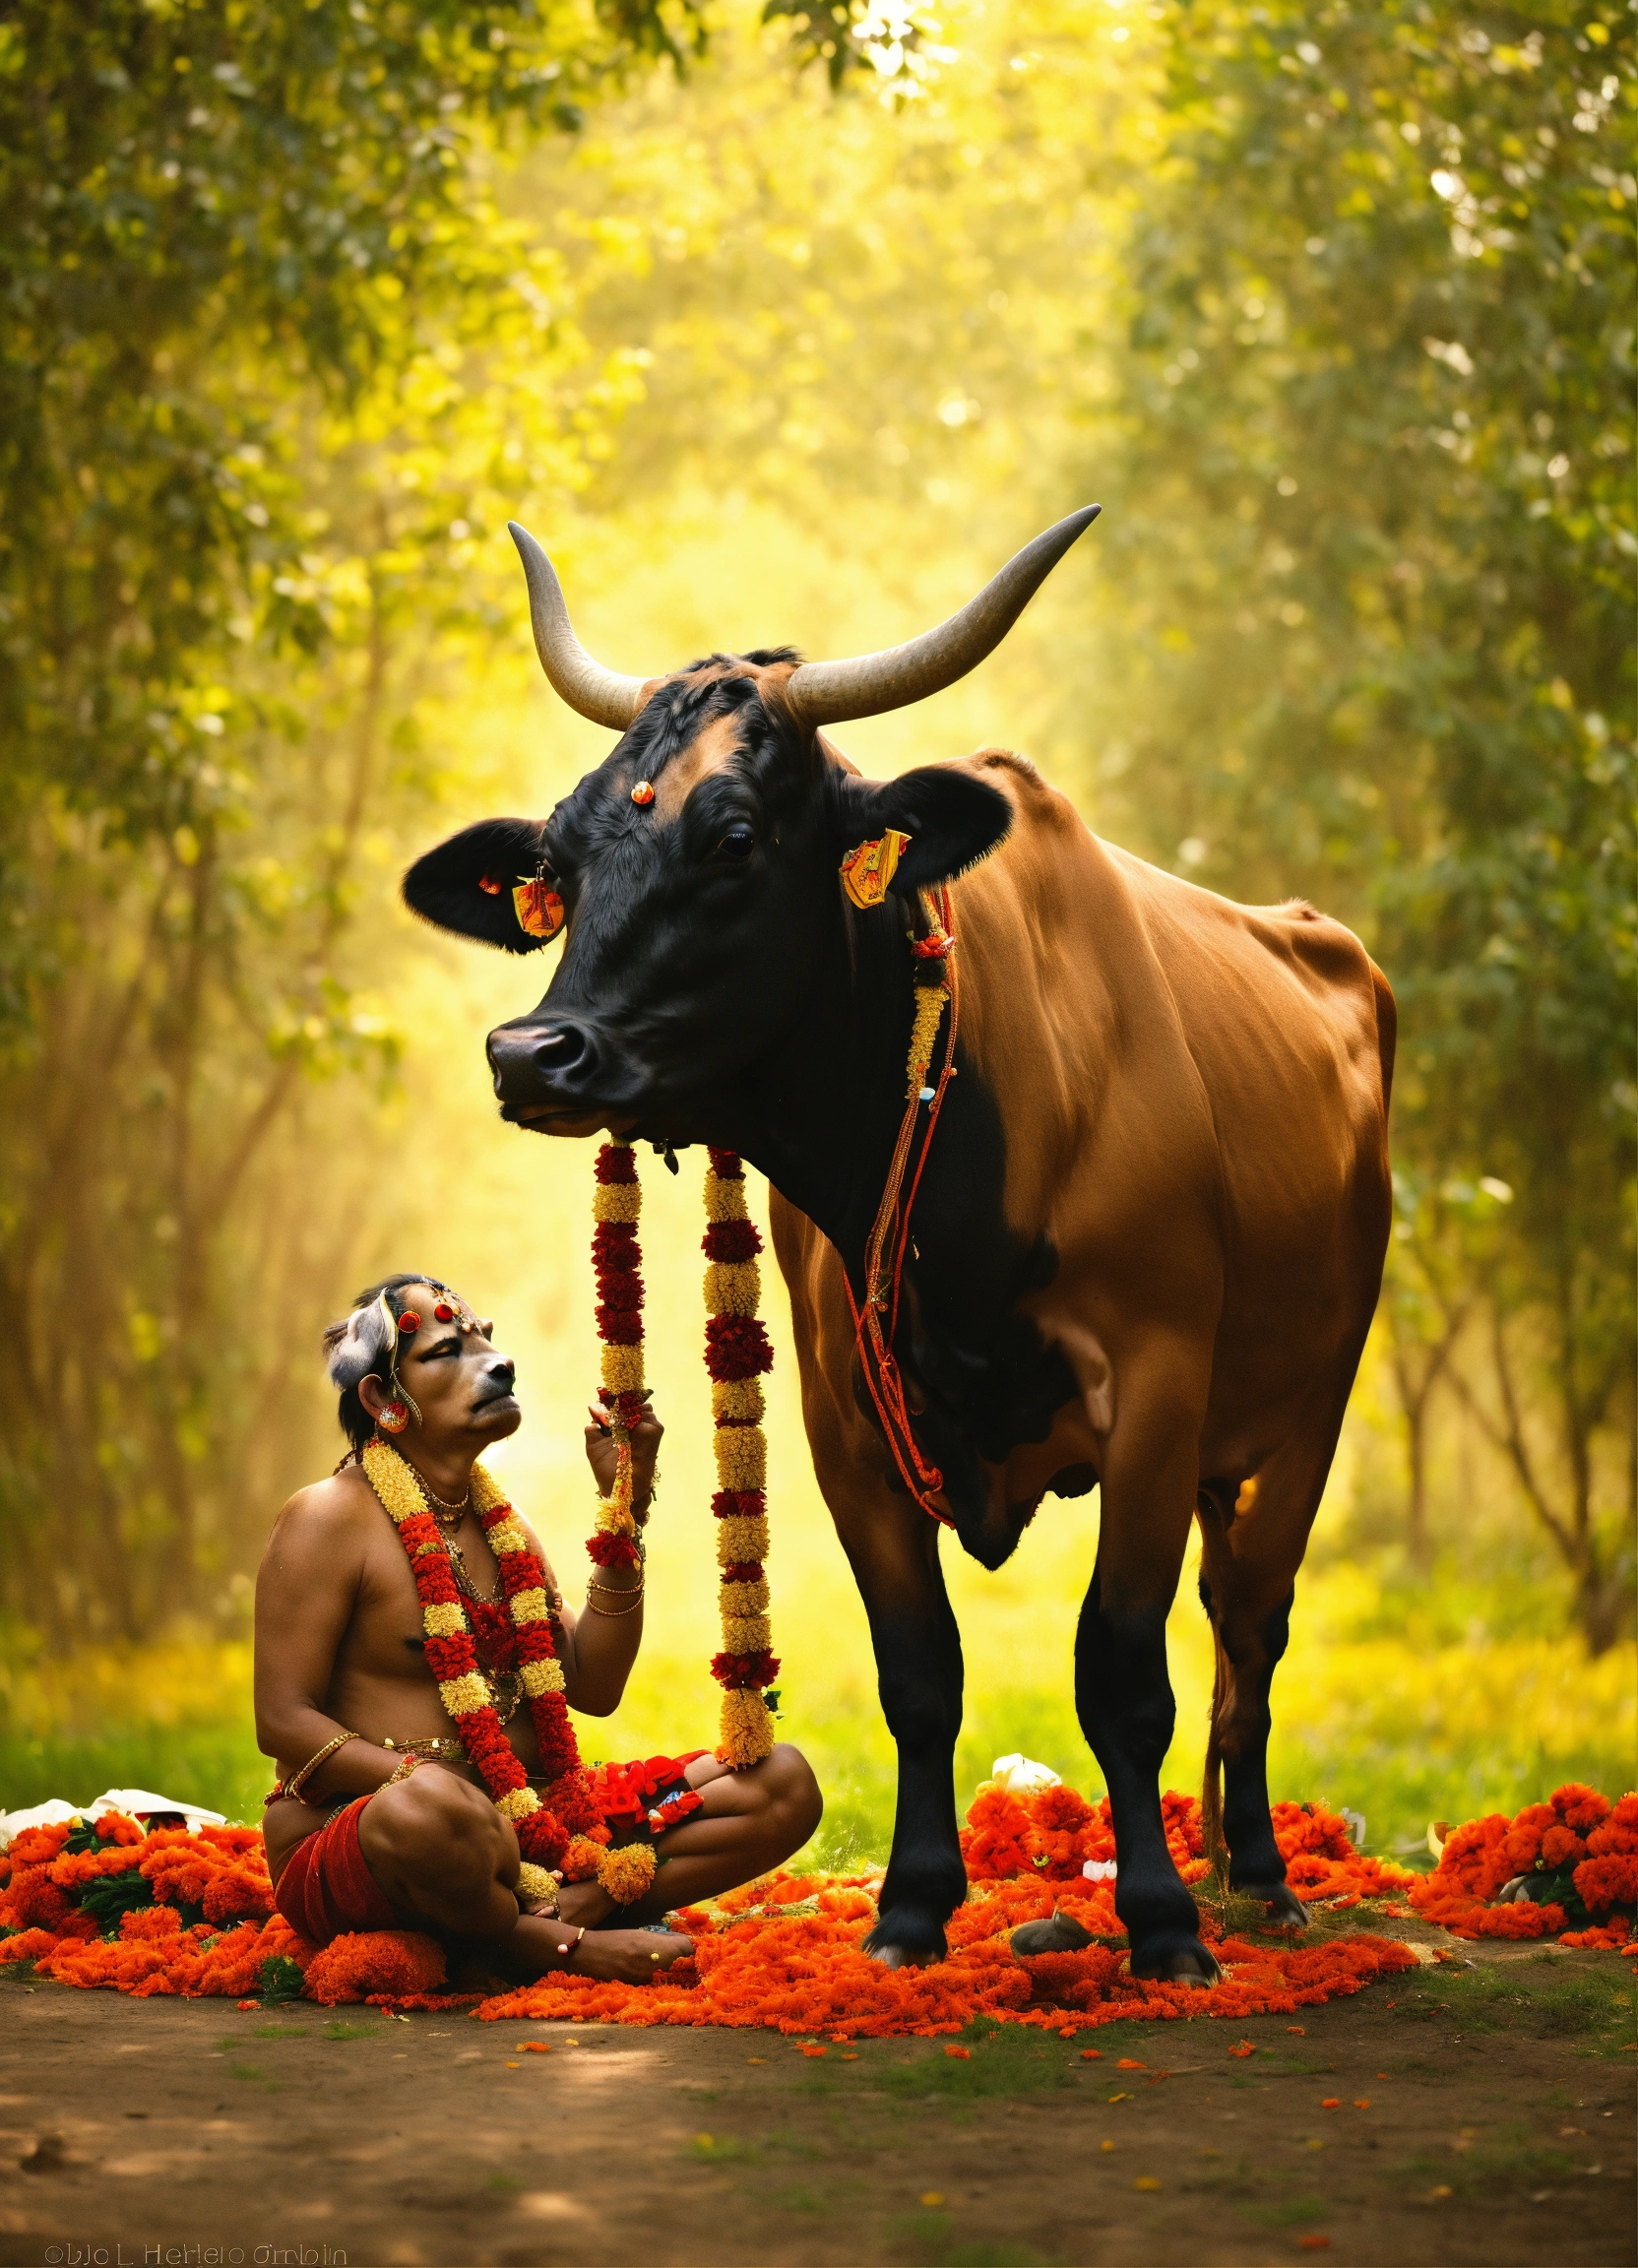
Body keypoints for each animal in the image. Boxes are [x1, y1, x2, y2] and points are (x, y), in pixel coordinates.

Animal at [403, 510, 1395, 1985]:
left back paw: (1259, 1879)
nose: (534, 1053)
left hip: (1301, 1415)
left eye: (734, 833)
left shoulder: (1158, 1391)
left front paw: (1161, 1919)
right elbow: (919, 1674)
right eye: (561, 862)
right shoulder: (844, 1421)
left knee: (1247, 1627)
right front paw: (915, 1907)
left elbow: (1120, 1671)